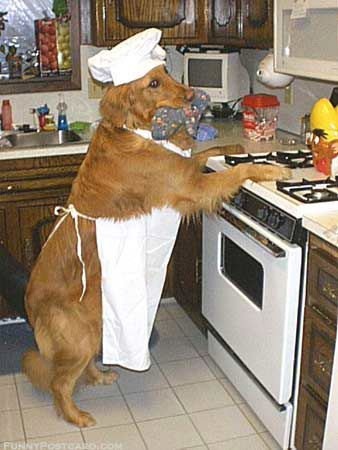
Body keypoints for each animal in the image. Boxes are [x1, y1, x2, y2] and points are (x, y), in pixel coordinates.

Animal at [22, 65, 290, 428]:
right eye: (153, 83)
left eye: (167, 71)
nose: (191, 96)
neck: (135, 129)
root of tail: (30, 306)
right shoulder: (192, 186)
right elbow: (236, 172)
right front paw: (269, 168)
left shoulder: (185, 172)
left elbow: (202, 155)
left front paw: (233, 147)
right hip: (79, 336)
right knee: (59, 382)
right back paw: (76, 416)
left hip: (95, 324)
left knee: (81, 367)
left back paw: (100, 377)